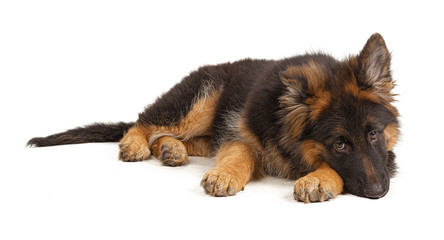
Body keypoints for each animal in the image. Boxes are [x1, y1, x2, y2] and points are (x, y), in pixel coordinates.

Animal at [29, 33, 400, 202]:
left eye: (373, 134)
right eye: (339, 144)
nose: (380, 192)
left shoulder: (387, 158)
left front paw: (319, 178)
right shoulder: (239, 131)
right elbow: (239, 153)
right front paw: (226, 174)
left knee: (187, 140)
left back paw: (171, 149)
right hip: (202, 99)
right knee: (144, 121)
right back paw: (137, 144)